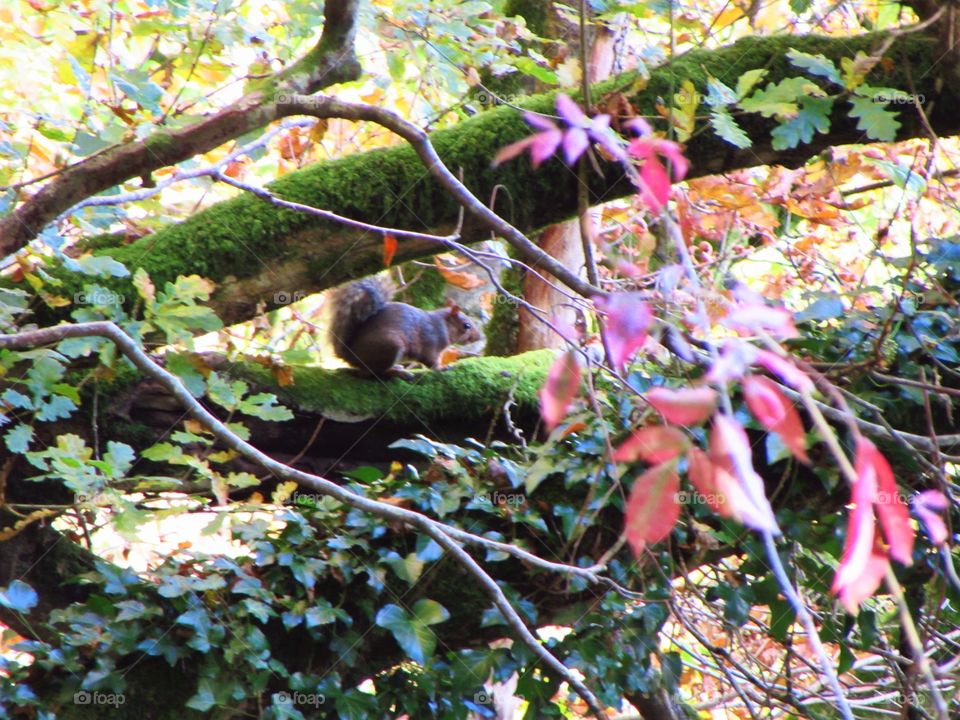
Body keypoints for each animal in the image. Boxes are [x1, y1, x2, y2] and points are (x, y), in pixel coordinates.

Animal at [328, 276, 480, 380]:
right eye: (466, 325)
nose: (479, 337)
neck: (443, 325)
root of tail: (349, 354)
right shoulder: (431, 343)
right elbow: (431, 362)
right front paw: (442, 368)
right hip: (390, 345)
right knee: (372, 372)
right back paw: (397, 372)